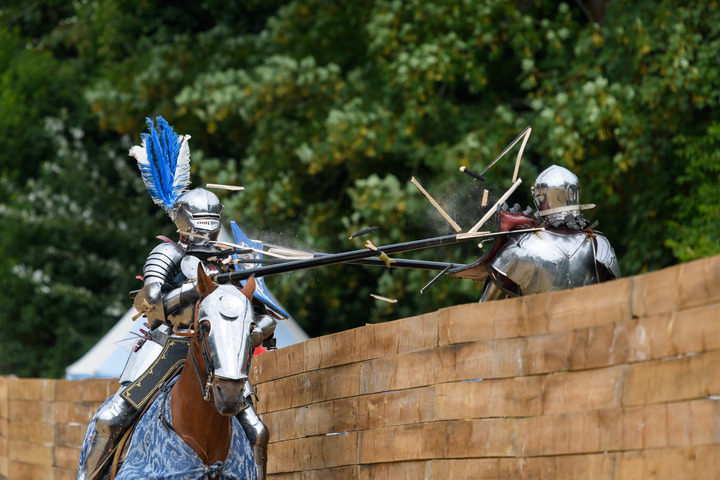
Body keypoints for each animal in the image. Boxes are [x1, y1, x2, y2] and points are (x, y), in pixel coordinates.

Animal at [79, 268, 258, 478]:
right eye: (205, 327)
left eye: (251, 329)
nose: (229, 394)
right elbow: (154, 297)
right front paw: (190, 289)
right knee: (109, 420)